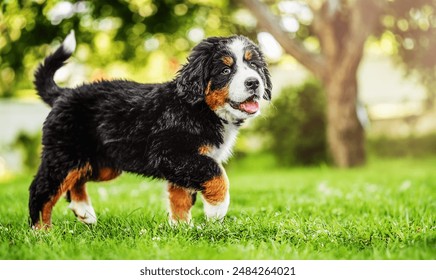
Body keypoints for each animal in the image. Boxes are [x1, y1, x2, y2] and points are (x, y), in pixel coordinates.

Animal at [29, 30, 270, 229]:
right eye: (226, 70)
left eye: (255, 66)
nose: (254, 83)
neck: (199, 108)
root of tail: (64, 93)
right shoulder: (172, 153)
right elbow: (216, 174)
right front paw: (217, 209)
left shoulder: (183, 163)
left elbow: (180, 197)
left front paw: (182, 228)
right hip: (64, 153)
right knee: (42, 190)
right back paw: (41, 232)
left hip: (102, 163)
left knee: (76, 180)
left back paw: (83, 211)